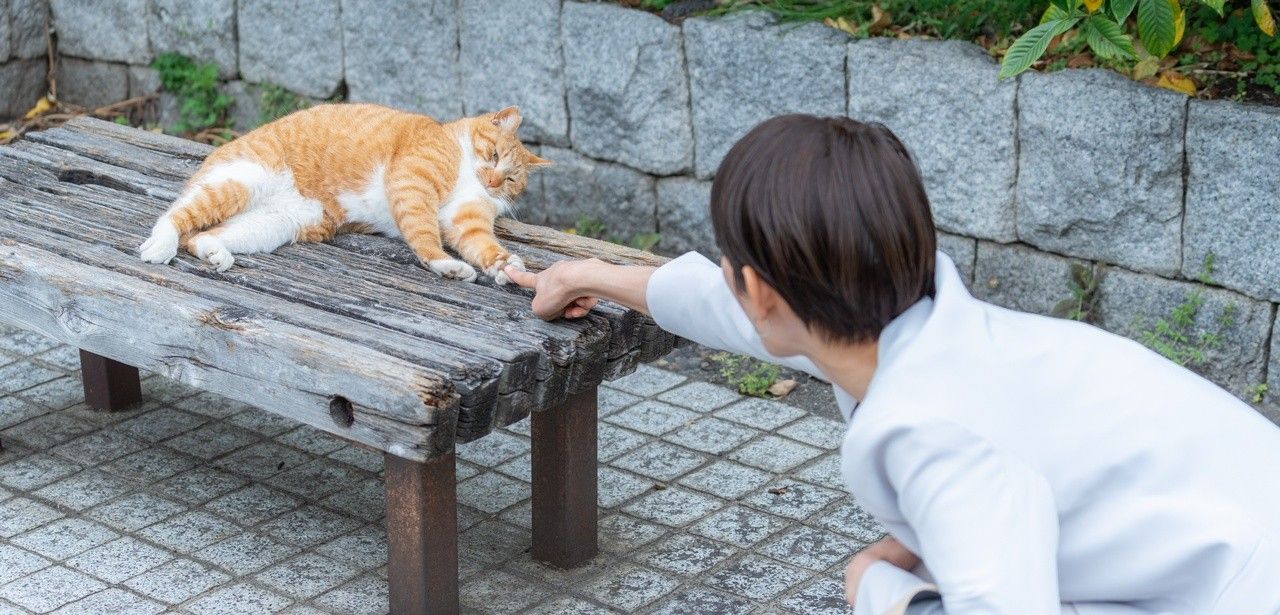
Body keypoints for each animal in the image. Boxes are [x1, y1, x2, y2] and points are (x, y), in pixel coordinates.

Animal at [137, 103, 547, 283]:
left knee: (202, 236)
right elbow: (424, 234)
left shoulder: (467, 219)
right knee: (174, 216)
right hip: (241, 181)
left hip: (277, 223)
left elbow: (483, 245)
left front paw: (506, 267)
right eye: (493, 156)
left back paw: (214, 253)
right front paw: (444, 264)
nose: (492, 183)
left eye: (511, 180)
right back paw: (160, 246)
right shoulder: (411, 184)